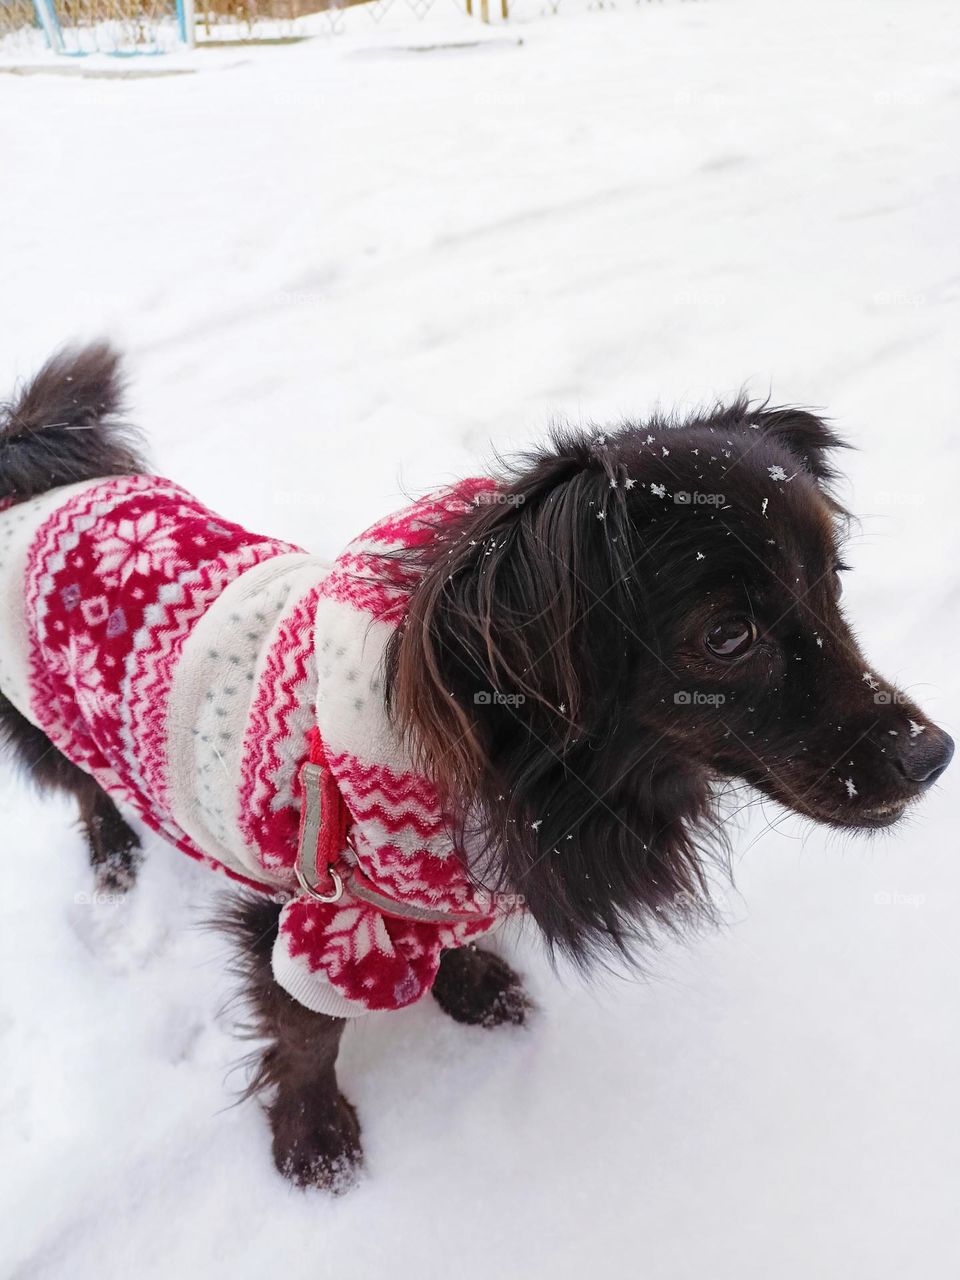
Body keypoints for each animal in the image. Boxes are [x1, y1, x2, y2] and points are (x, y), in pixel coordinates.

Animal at [0, 348, 952, 1187]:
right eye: (727, 637)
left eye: (835, 586)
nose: (935, 755)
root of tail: (34, 472)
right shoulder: (310, 913)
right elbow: (306, 1037)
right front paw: (313, 1138)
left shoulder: (428, 895)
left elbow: (448, 943)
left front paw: (471, 987)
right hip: (54, 730)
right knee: (85, 791)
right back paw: (114, 856)